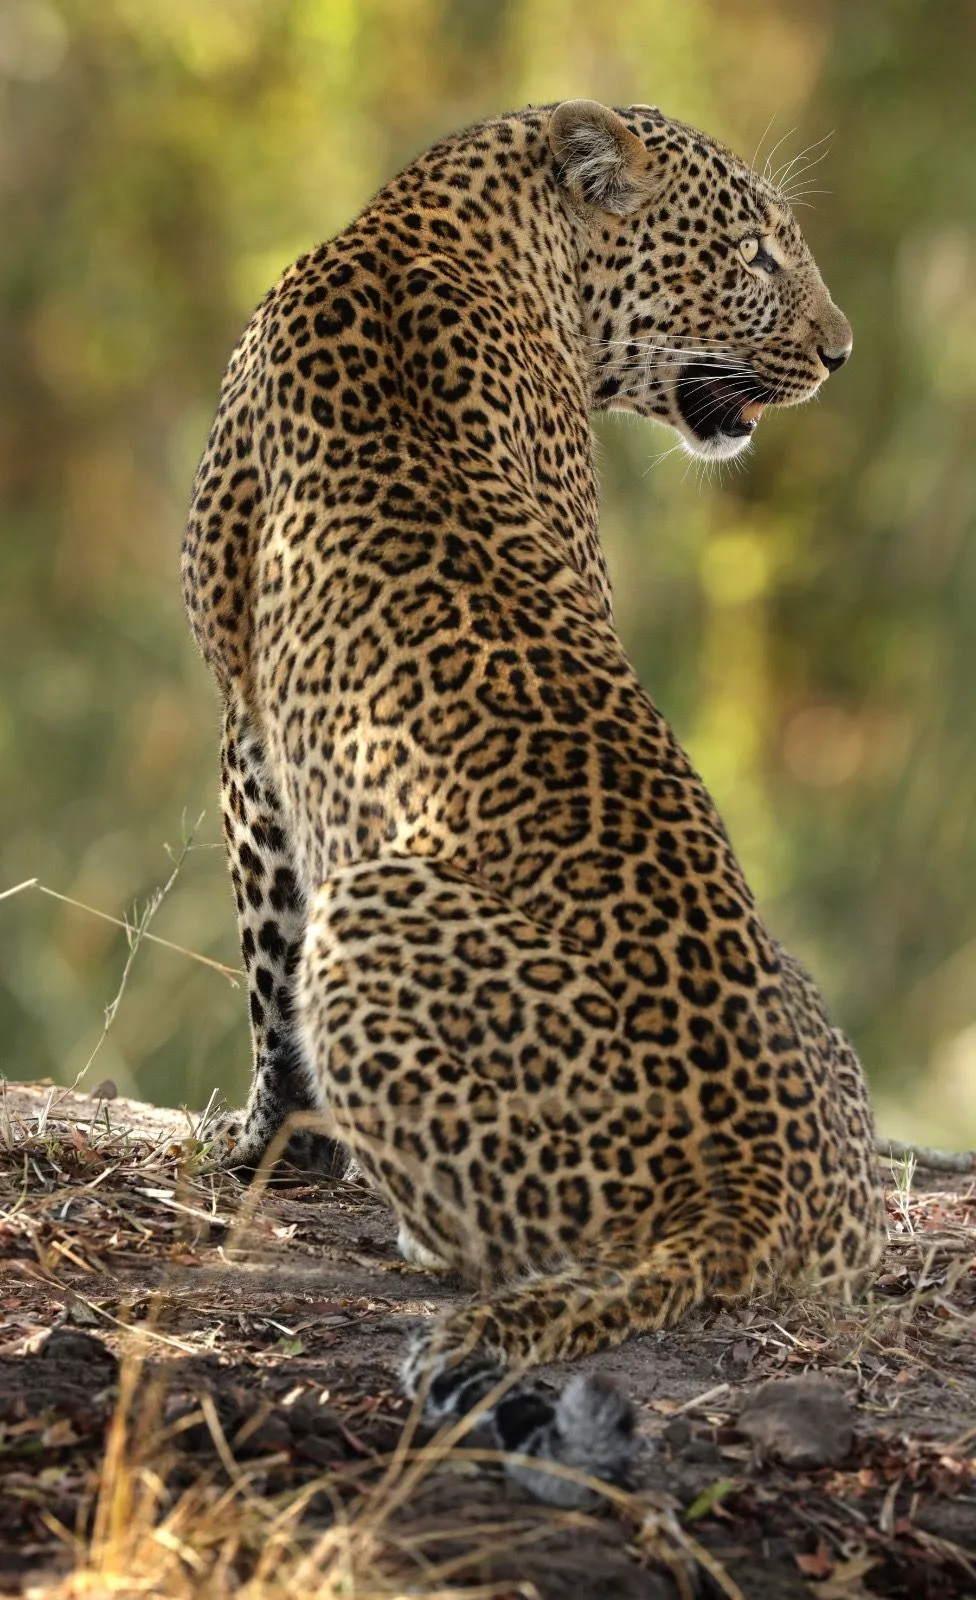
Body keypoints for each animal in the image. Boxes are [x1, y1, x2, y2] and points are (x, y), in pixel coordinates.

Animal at [182, 99, 886, 1506]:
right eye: (755, 251)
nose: (840, 354)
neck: (449, 218)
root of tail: (741, 1194)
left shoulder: (247, 729)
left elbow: (265, 967)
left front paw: (275, 1142)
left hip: (375, 909)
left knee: (482, 1239)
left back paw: (407, 1231)